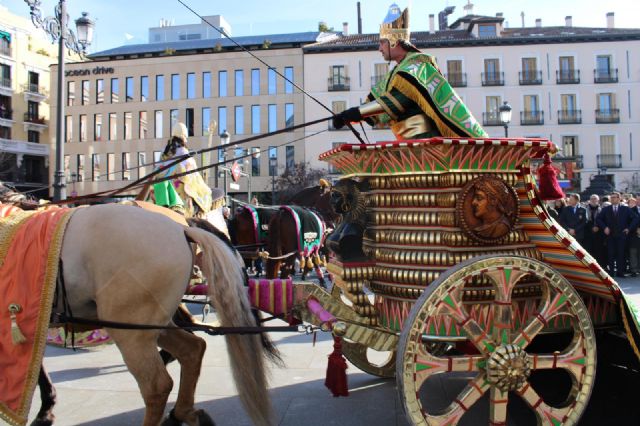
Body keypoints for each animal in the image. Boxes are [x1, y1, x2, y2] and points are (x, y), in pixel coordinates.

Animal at [0, 195, 276, 424]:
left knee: (157, 385)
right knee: (192, 349)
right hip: (150, 322)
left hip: (130, 327)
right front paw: (46, 408)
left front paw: (45, 410)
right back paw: (184, 412)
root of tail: (182, 228)